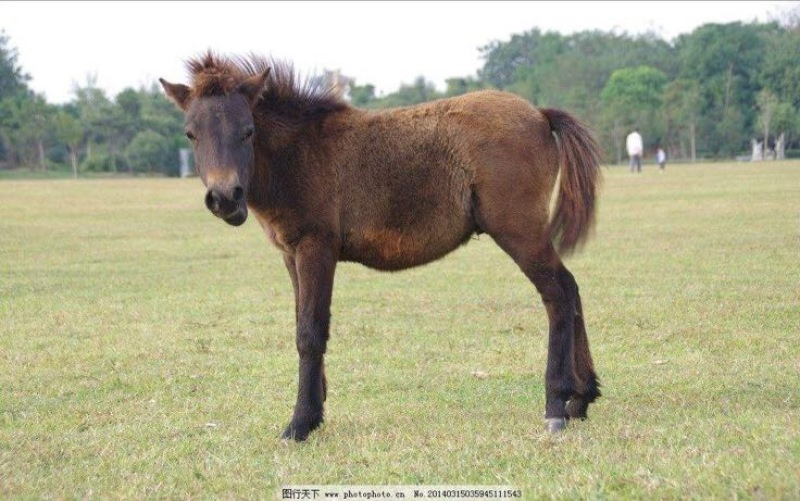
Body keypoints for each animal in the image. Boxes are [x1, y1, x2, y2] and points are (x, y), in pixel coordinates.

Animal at [160, 52, 602, 441]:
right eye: (190, 133)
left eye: (248, 131)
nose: (225, 198)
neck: (299, 153)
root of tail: (540, 115)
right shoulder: (290, 254)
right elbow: (301, 323)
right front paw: (315, 413)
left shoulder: (317, 247)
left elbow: (310, 332)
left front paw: (299, 424)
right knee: (572, 288)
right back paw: (582, 399)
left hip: (518, 231)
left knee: (558, 293)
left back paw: (556, 405)